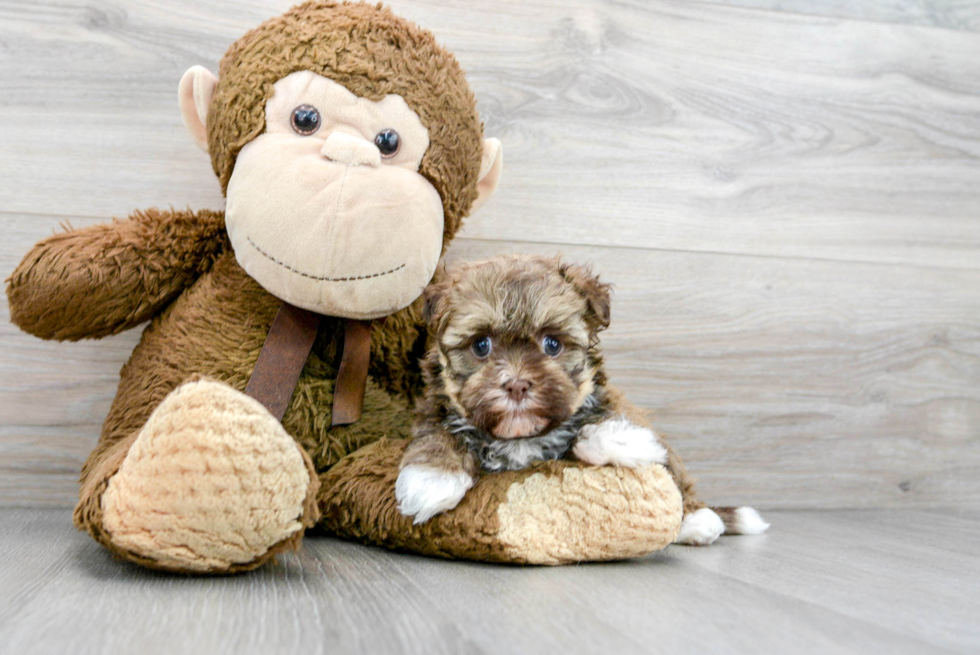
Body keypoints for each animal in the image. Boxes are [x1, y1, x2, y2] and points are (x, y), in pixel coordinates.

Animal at [394, 254, 768, 544]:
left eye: (552, 344)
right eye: (481, 345)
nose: (516, 385)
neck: (520, 438)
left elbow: (599, 426)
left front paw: (620, 439)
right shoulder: (435, 407)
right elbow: (437, 432)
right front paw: (431, 478)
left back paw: (696, 519)